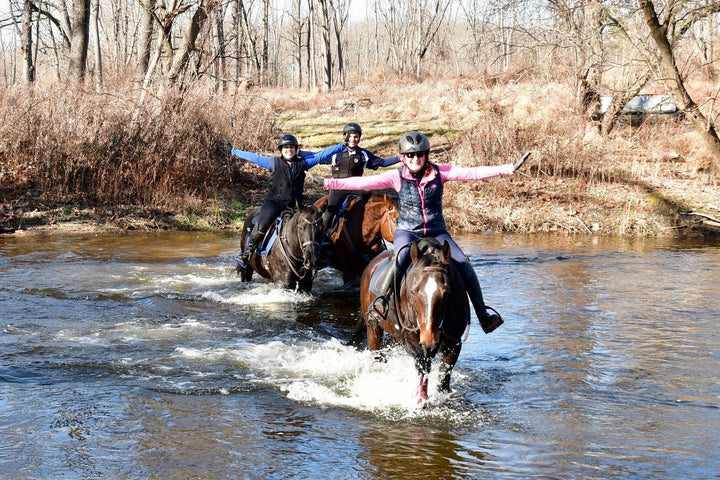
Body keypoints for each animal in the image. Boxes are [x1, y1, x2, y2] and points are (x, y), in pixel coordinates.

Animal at [360, 238, 472, 404]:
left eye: (447, 293)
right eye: (413, 292)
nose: (429, 340)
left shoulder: (453, 344)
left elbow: (443, 378)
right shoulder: (411, 341)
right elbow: (422, 365)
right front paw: (420, 398)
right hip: (374, 329)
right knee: (376, 354)